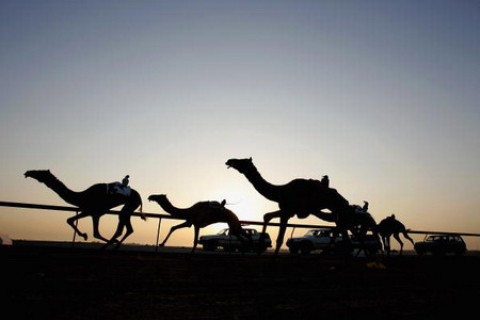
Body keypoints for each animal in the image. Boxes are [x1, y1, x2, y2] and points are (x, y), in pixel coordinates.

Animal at [225, 158, 376, 255]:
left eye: (242, 161)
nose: (229, 161)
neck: (280, 191)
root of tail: (345, 200)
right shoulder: (286, 210)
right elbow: (267, 216)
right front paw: (260, 243)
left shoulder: (287, 212)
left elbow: (279, 240)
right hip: (338, 215)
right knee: (349, 237)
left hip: (339, 210)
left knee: (351, 236)